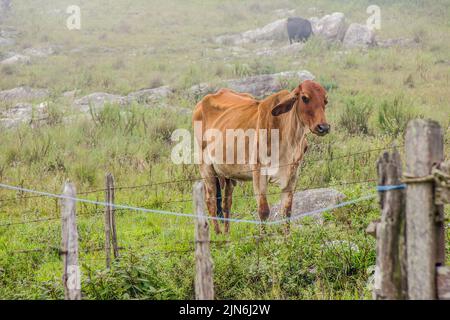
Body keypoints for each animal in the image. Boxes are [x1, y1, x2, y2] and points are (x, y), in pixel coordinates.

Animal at [192, 80, 328, 234]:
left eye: (325, 100)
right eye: (305, 98)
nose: (323, 127)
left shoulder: (292, 175)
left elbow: (286, 212)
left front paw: (287, 238)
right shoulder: (258, 173)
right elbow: (263, 211)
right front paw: (263, 238)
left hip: (227, 174)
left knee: (227, 203)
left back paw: (226, 234)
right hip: (206, 169)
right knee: (211, 202)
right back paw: (218, 234)